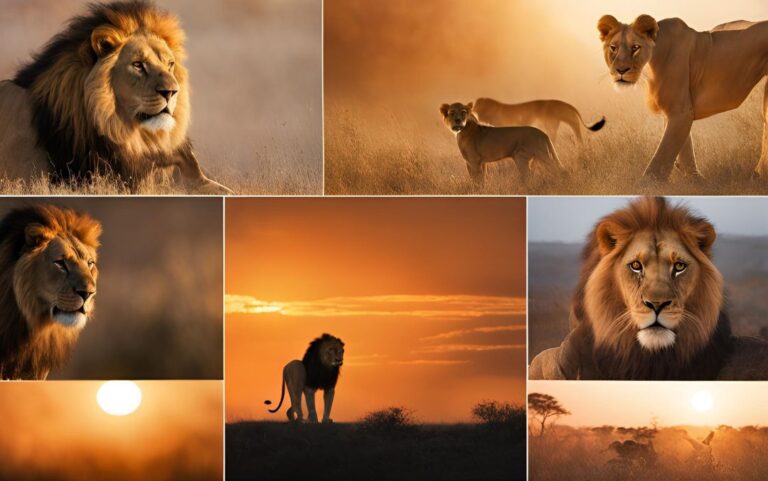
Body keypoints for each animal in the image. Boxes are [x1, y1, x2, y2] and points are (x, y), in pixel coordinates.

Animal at [597, 14, 768, 181]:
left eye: (635, 48)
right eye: (613, 48)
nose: (621, 70)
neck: (651, 63)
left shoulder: (681, 112)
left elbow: (662, 155)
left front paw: (646, 184)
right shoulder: (675, 112)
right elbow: (684, 148)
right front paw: (695, 179)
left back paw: (758, 175)